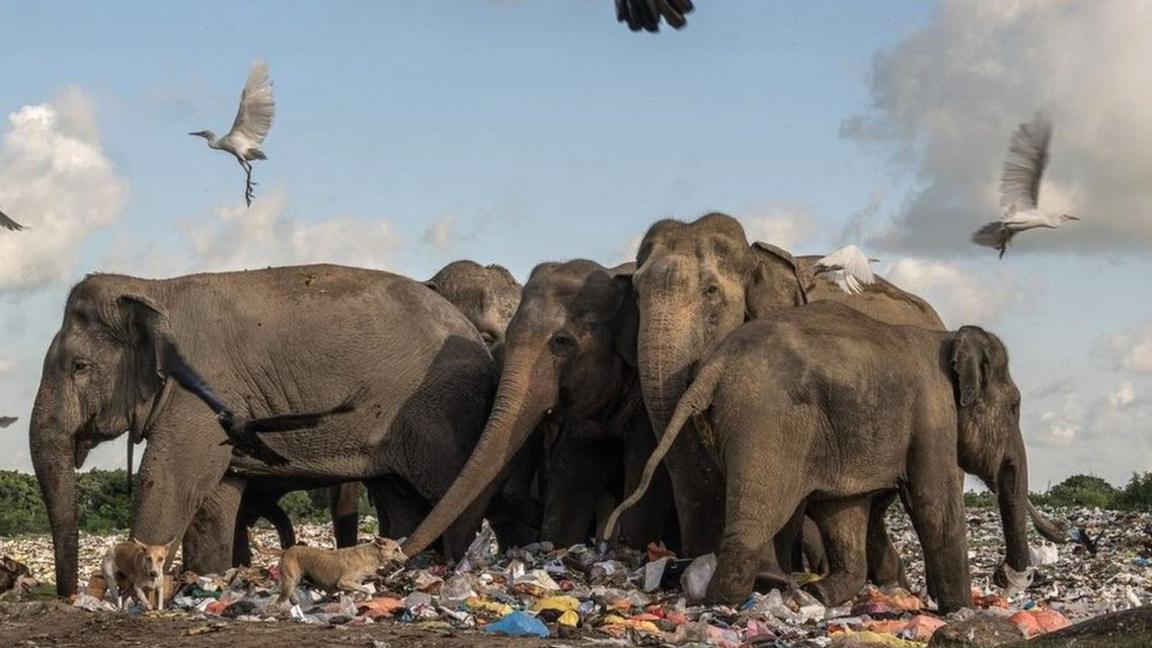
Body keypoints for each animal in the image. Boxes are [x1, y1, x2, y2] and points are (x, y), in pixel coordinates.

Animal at [264, 535, 405, 599]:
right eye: (396, 550)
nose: (407, 558)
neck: (371, 555)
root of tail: (286, 550)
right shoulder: (343, 582)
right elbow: (366, 589)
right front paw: (367, 597)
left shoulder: (350, 587)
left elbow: (352, 595)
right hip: (290, 582)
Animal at [612, 299, 1036, 608]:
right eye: (1015, 406)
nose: (1005, 577)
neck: (947, 337)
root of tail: (716, 364)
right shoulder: (933, 416)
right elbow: (934, 505)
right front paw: (962, 612)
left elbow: (844, 511)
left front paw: (823, 592)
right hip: (767, 421)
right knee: (761, 510)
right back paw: (734, 597)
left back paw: (781, 587)